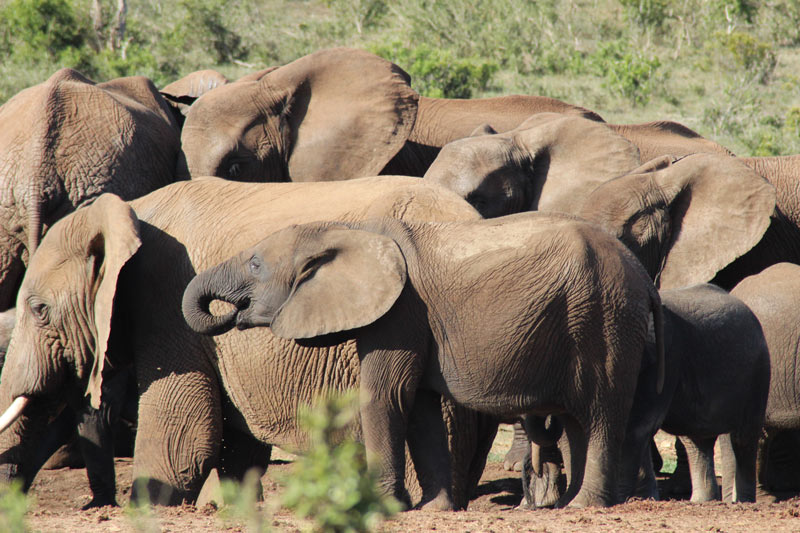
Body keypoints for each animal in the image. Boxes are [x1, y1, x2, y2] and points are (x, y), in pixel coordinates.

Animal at [0, 177, 494, 510]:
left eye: (39, 310)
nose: (233, 313)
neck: (127, 212)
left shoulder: (163, 306)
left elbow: (182, 436)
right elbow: (236, 447)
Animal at [184, 212, 664, 508]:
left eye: (254, 264)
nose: (228, 312)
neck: (349, 230)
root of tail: (643, 276)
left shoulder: (400, 313)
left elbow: (386, 397)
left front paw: (384, 507)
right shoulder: (409, 319)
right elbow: (419, 409)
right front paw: (434, 510)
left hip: (604, 318)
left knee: (600, 412)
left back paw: (585, 505)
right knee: (577, 420)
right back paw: (568, 505)